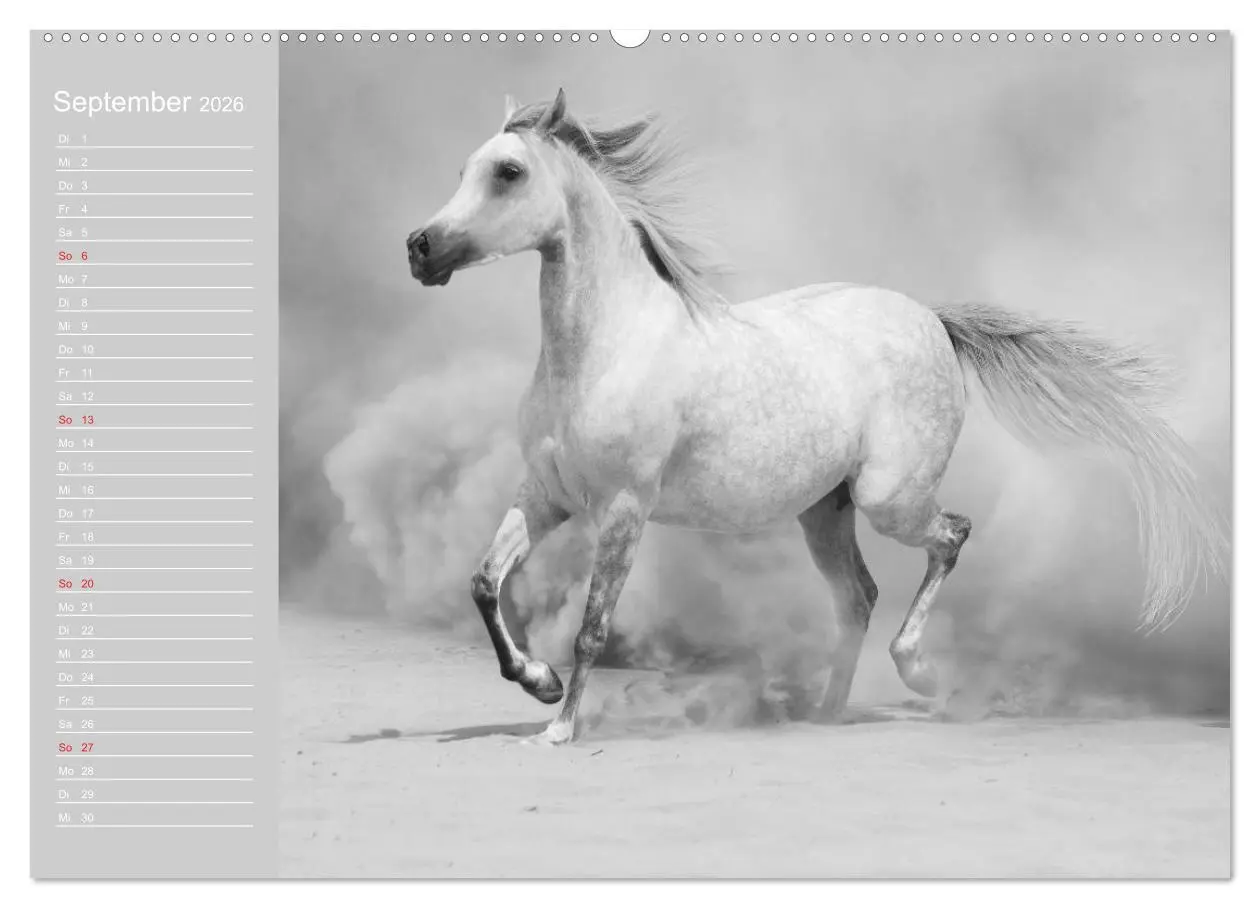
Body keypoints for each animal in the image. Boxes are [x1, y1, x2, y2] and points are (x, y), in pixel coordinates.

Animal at [405, 89, 1226, 745]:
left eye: (509, 173)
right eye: (463, 170)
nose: (420, 248)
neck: (607, 349)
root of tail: (932, 319)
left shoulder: (622, 509)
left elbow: (592, 627)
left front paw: (560, 727)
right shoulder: (547, 497)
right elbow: (484, 583)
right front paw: (537, 682)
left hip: (888, 500)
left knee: (950, 538)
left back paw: (918, 676)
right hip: (823, 512)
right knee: (858, 596)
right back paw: (827, 711)